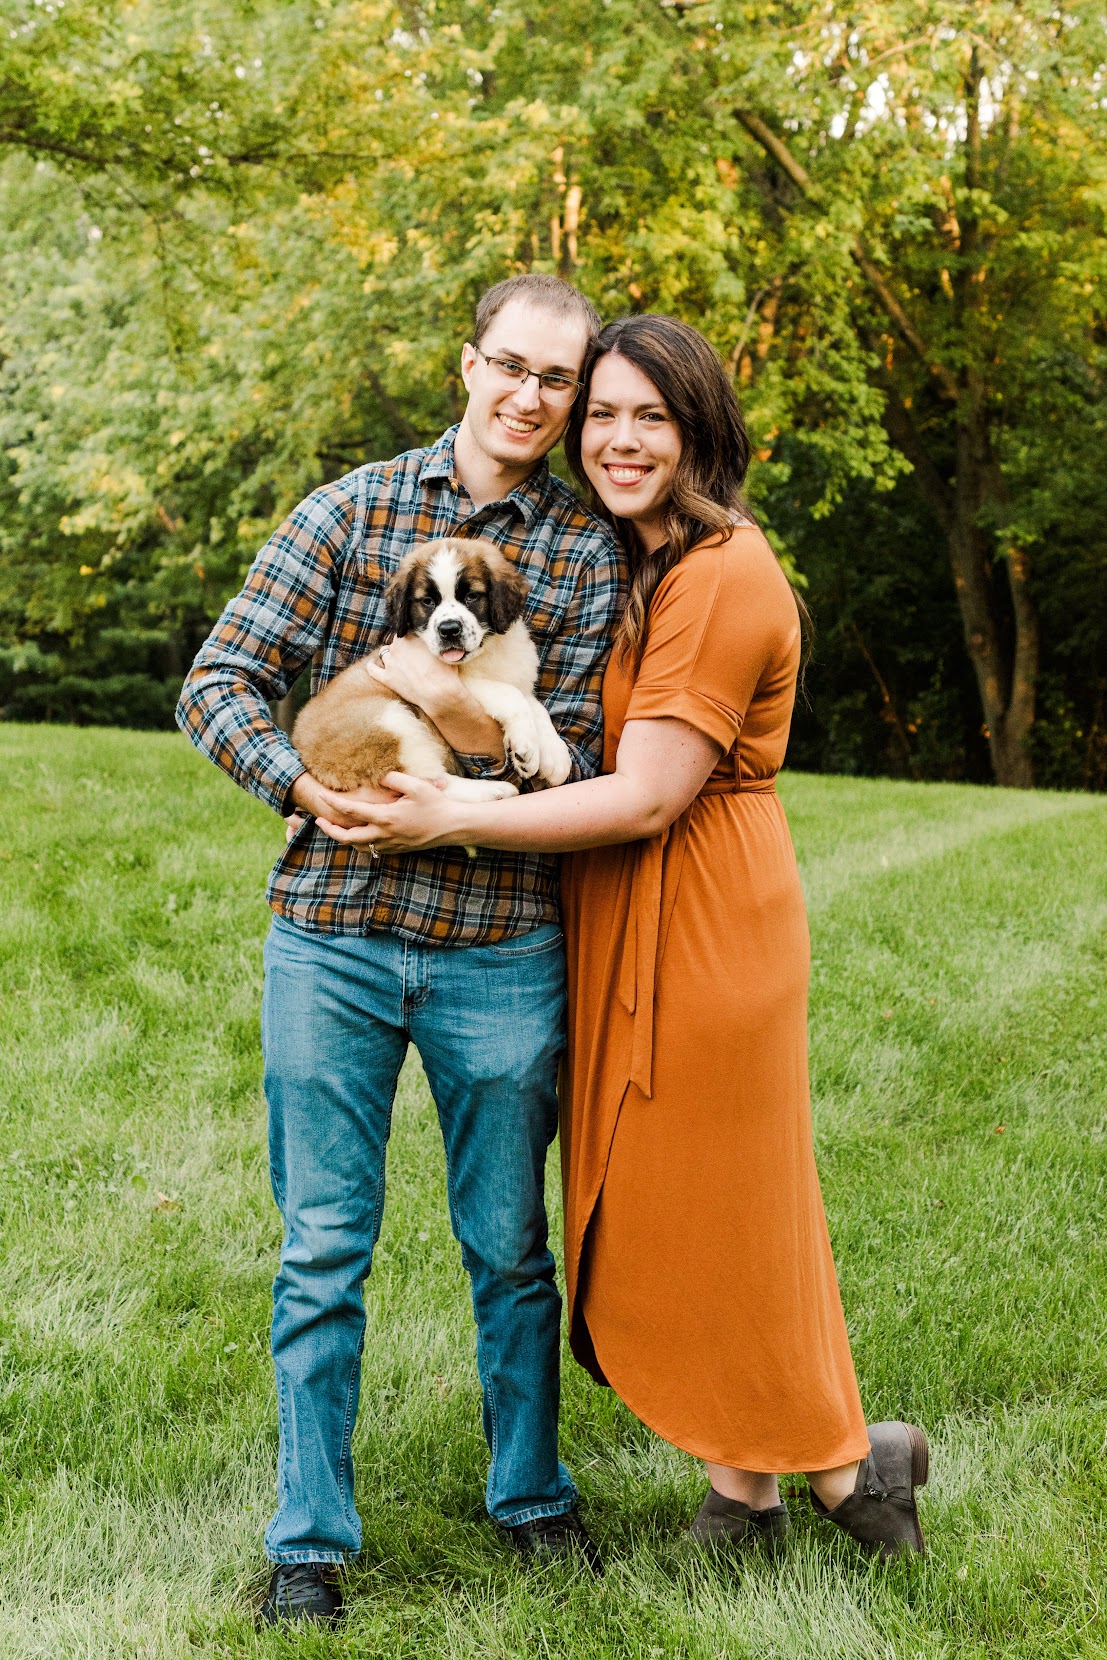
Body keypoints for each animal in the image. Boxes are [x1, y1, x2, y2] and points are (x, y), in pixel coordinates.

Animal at [293, 537, 570, 803]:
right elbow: (513, 696)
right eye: (427, 601)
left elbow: (535, 706)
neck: (489, 650)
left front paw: (556, 756)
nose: (449, 629)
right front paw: (526, 748)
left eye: (471, 597)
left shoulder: (520, 679)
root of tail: (303, 750)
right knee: (427, 783)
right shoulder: (458, 684)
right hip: (386, 720)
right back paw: (493, 791)